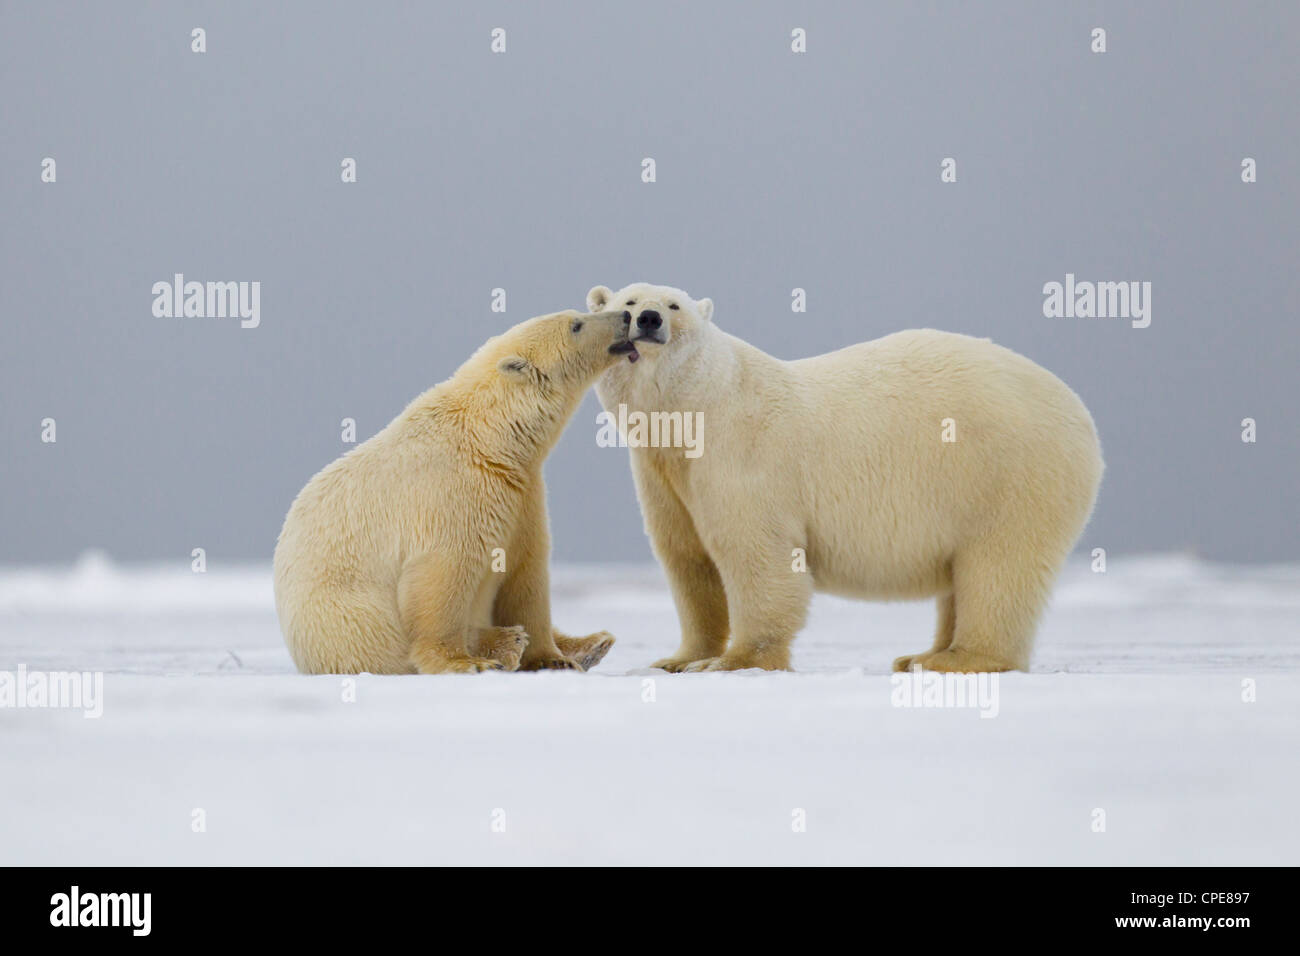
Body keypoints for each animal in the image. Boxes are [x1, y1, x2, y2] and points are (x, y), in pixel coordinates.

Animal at [276, 310, 637, 676]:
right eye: (576, 324)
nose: (625, 315)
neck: (490, 439)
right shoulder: (453, 492)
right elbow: (443, 572)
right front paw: (465, 662)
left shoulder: (522, 493)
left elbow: (525, 573)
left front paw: (554, 658)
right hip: (344, 618)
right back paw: (504, 643)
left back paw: (591, 642)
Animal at [590, 283, 1107, 671]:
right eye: (627, 304)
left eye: (673, 305)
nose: (649, 319)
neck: (698, 407)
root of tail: (1080, 414)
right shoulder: (664, 474)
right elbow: (688, 560)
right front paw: (678, 659)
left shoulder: (742, 455)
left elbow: (756, 556)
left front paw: (733, 661)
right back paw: (922, 653)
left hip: (1010, 474)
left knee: (999, 565)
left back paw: (956, 659)